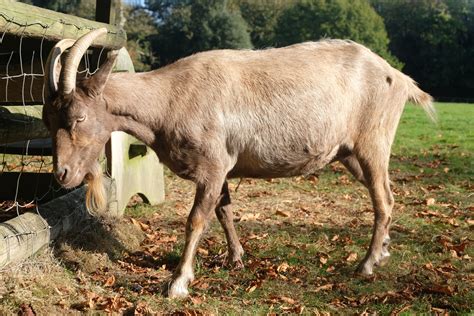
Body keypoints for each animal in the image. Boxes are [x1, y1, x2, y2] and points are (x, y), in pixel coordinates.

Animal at [42, 28, 436, 298]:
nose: (62, 174)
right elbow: (224, 210)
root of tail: (399, 78)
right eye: (47, 119)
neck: (170, 98)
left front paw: (178, 282)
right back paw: (382, 252)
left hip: (373, 142)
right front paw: (236, 258)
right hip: (350, 153)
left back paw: (367, 264)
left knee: (383, 200)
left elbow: (196, 219)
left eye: (78, 117)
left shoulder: (212, 164)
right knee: (386, 197)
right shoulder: (224, 166)